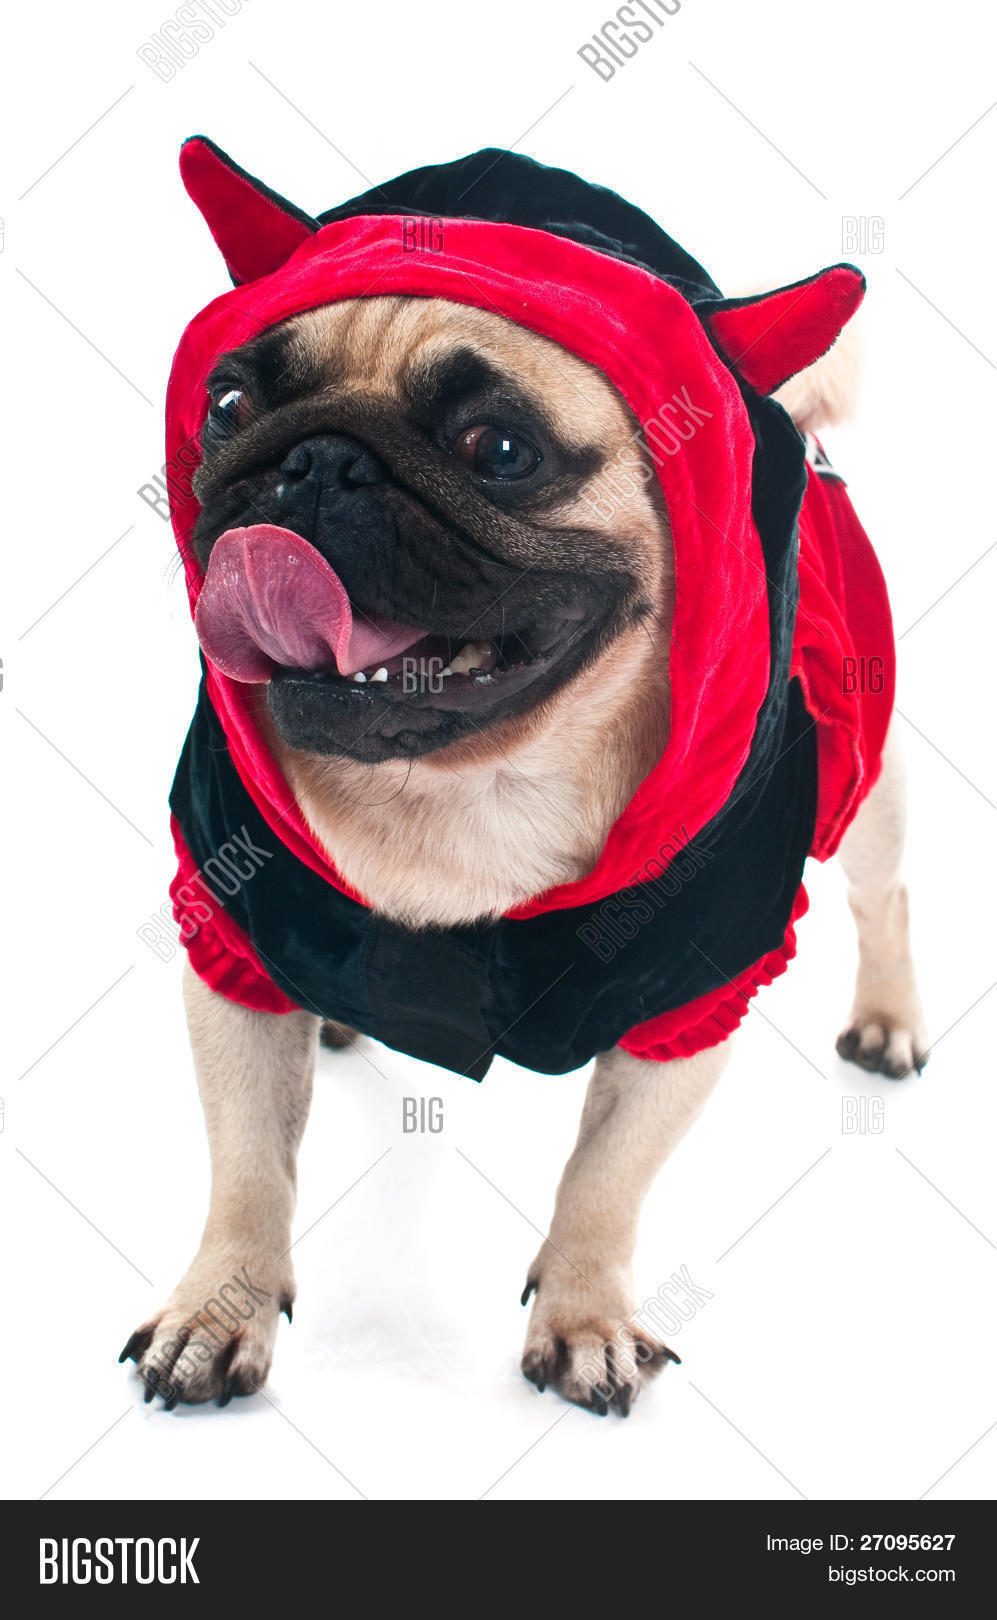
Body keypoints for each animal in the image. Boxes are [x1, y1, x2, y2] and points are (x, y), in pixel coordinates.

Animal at [120, 140, 927, 1414]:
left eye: (498, 450)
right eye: (231, 405)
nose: (314, 459)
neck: (466, 782)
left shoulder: (694, 999)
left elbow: (606, 1175)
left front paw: (585, 1314)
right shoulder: (233, 939)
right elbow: (248, 1162)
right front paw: (219, 1308)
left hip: (872, 780)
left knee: (883, 895)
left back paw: (888, 1022)